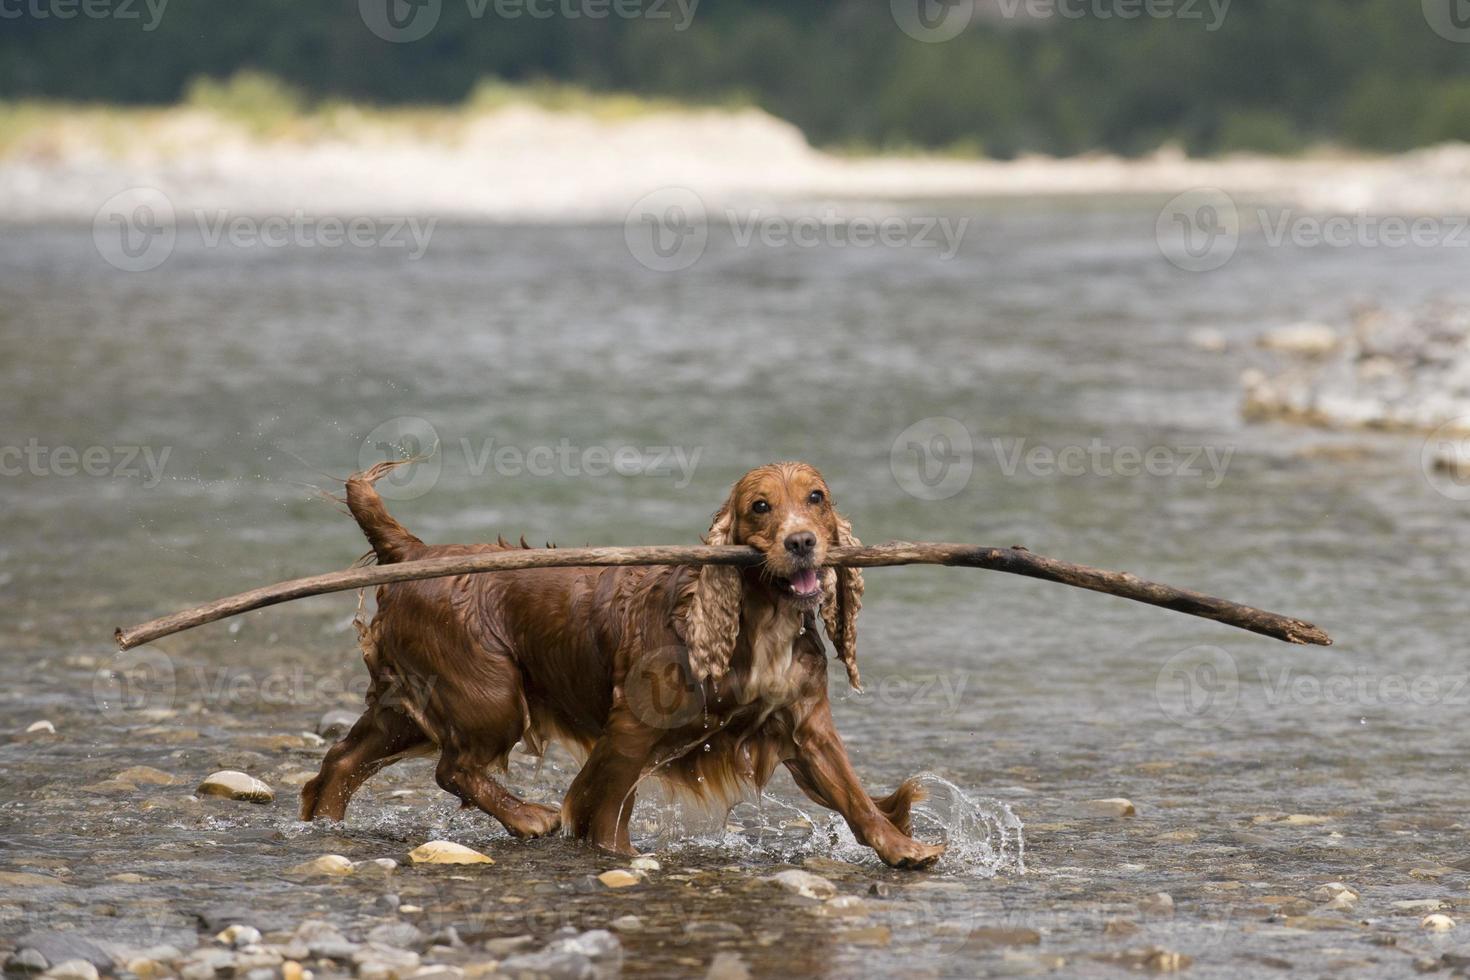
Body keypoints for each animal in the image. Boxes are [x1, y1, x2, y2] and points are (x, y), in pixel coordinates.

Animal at [299, 464, 946, 869]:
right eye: (760, 507)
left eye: (816, 497)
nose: (802, 542)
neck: (759, 620)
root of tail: (416, 550)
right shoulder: (631, 732)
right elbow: (604, 810)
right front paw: (622, 860)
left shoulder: (805, 723)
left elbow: (853, 793)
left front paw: (901, 848)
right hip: (491, 695)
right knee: (452, 768)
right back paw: (527, 818)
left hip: (413, 704)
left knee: (343, 761)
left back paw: (326, 827)